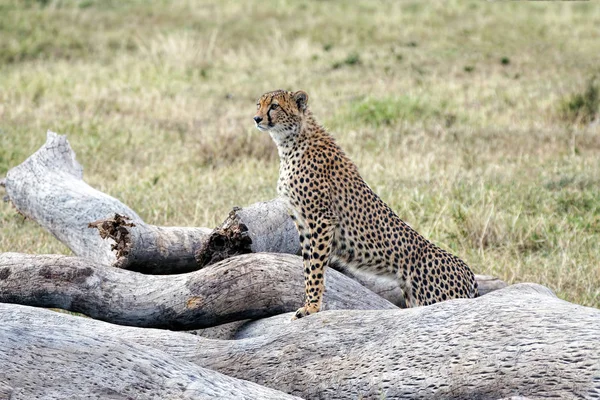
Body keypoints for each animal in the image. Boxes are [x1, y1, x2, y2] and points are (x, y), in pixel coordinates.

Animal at [253, 90, 478, 318]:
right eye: (258, 104)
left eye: (274, 106)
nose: (257, 118)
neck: (290, 142)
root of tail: (467, 270)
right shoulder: (303, 224)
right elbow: (308, 267)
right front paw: (309, 303)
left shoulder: (322, 220)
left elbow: (316, 268)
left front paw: (312, 307)